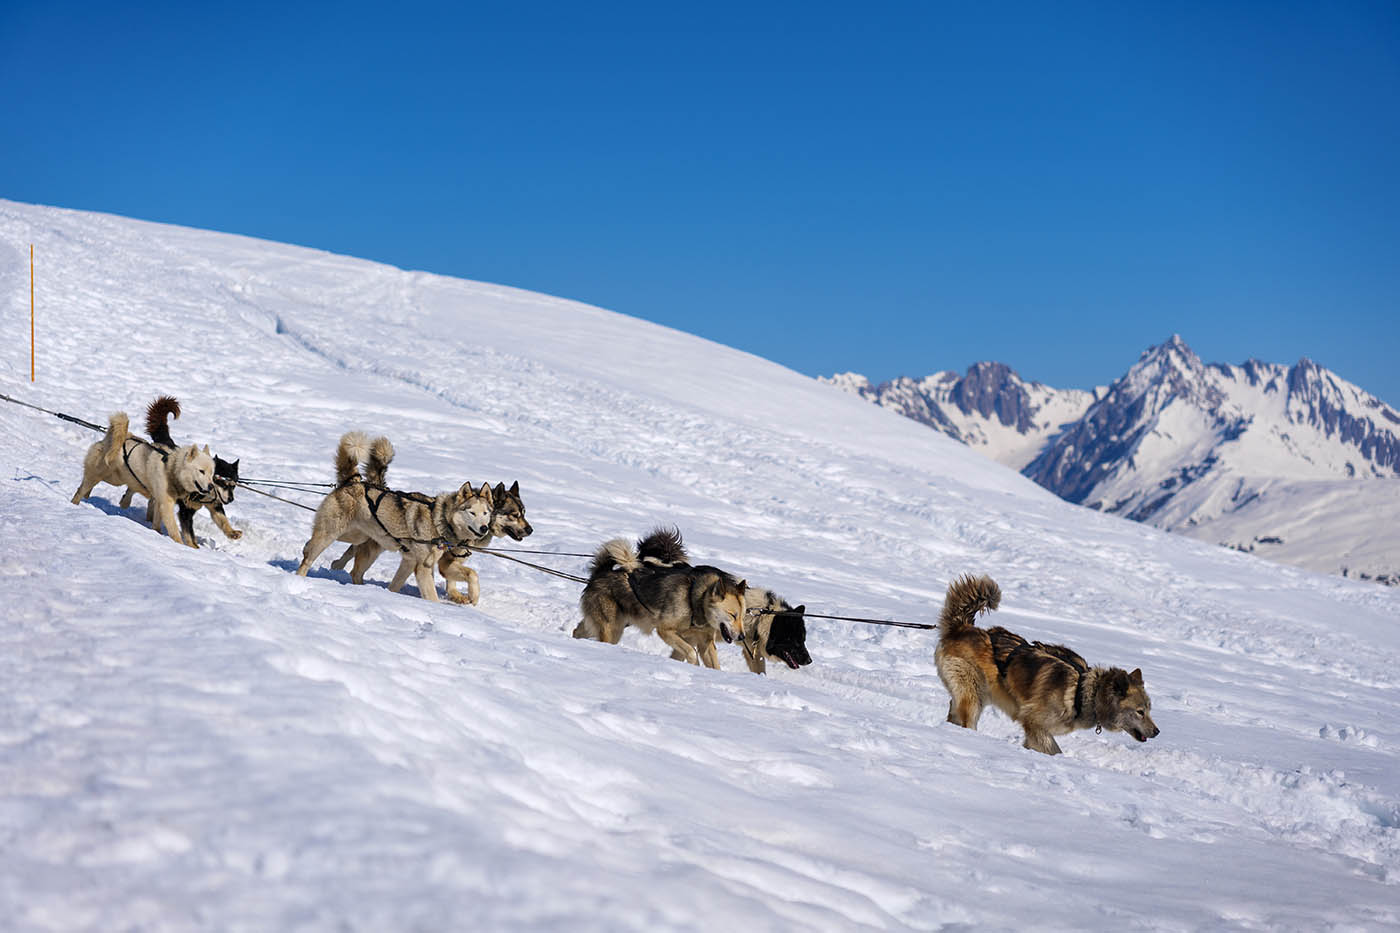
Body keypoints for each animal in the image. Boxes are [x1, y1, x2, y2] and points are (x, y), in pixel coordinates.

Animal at [73, 406, 215, 546]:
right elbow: (173, 529)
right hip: (101, 474)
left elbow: (157, 521)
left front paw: (157, 533)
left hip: (115, 478)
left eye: (212, 474)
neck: (171, 469)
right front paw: (179, 544)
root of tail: (109, 439)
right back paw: (75, 503)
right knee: (81, 489)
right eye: (201, 471)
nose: (211, 486)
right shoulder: (166, 503)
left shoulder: (159, 501)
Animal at [119, 397, 245, 549]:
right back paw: (126, 502)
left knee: (153, 502)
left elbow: (222, 520)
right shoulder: (186, 511)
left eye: (234, 485)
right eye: (223, 482)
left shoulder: (215, 505)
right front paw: (193, 547)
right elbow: (189, 533)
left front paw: (232, 532)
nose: (231, 499)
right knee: (133, 489)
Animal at [295, 431, 492, 602]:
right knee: (309, 557)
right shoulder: (423, 566)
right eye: (472, 512)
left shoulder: (409, 561)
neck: (439, 520)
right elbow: (432, 595)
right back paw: (300, 578)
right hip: (332, 533)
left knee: (349, 567)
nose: (484, 528)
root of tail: (352, 481)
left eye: (486, 513)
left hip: (357, 538)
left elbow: (395, 585)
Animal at [571, 526, 744, 664]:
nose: (742, 637)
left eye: (742, 617)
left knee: (578, 630)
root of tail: (600, 573)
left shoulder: (705, 643)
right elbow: (690, 652)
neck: (695, 598)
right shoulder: (665, 630)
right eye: (733, 615)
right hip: (611, 629)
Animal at [935, 571, 1164, 750]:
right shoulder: (1034, 723)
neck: (1084, 693)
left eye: (1149, 709)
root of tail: (962, 627)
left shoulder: (1037, 732)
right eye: (1140, 712)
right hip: (973, 699)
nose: (1157, 731)